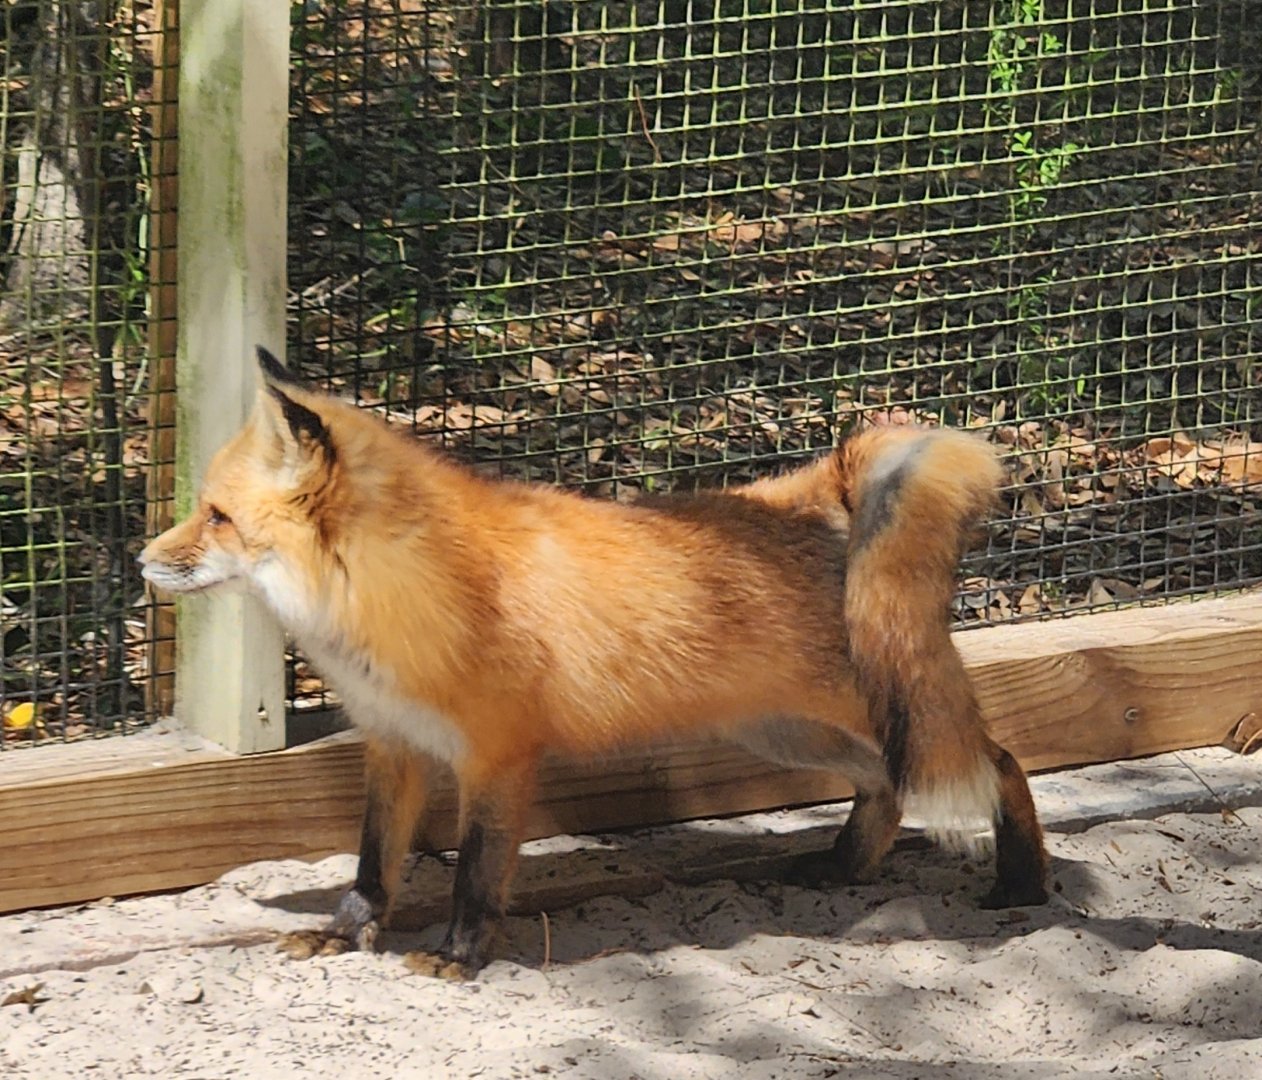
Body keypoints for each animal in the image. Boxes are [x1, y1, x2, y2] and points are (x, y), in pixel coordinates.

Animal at [139, 346, 1048, 980]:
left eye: (216, 517)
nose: (142, 560)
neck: (404, 591)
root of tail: (809, 489)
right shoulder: (394, 746)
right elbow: (371, 865)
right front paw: (343, 934)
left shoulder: (499, 757)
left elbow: (475, 874)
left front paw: (459, 956)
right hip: (789, 734)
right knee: (888, 787)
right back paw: (845, 867)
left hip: (864, 719)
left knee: (1000, 761)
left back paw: (1024, 885)